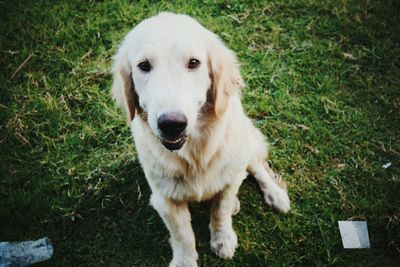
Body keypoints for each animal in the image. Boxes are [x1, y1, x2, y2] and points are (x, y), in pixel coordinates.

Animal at [112, 11, 290, 266]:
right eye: (144, 66)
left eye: (194, 63)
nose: (172, 124)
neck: (195, 152)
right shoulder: (164, 198)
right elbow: (182, 234)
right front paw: (185, 260)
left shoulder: (229, 180)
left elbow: (220, 211)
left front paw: (223, 240)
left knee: (256, 166)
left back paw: (275, 194)